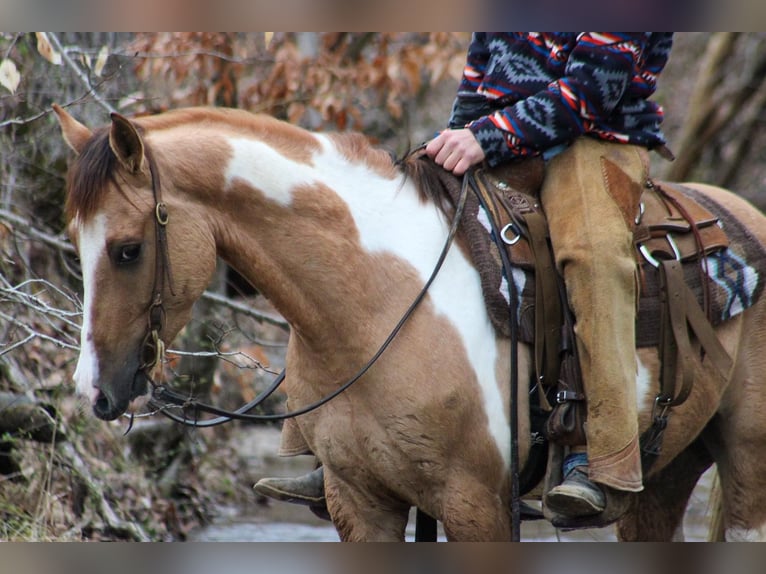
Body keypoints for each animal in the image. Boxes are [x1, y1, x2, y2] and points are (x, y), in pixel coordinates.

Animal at [55, 104, 766, 544]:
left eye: (127, 249)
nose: (94, 392)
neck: (383, 300)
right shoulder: (360, 504)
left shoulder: (479, 508)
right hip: (662, 478)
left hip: (747, 472)